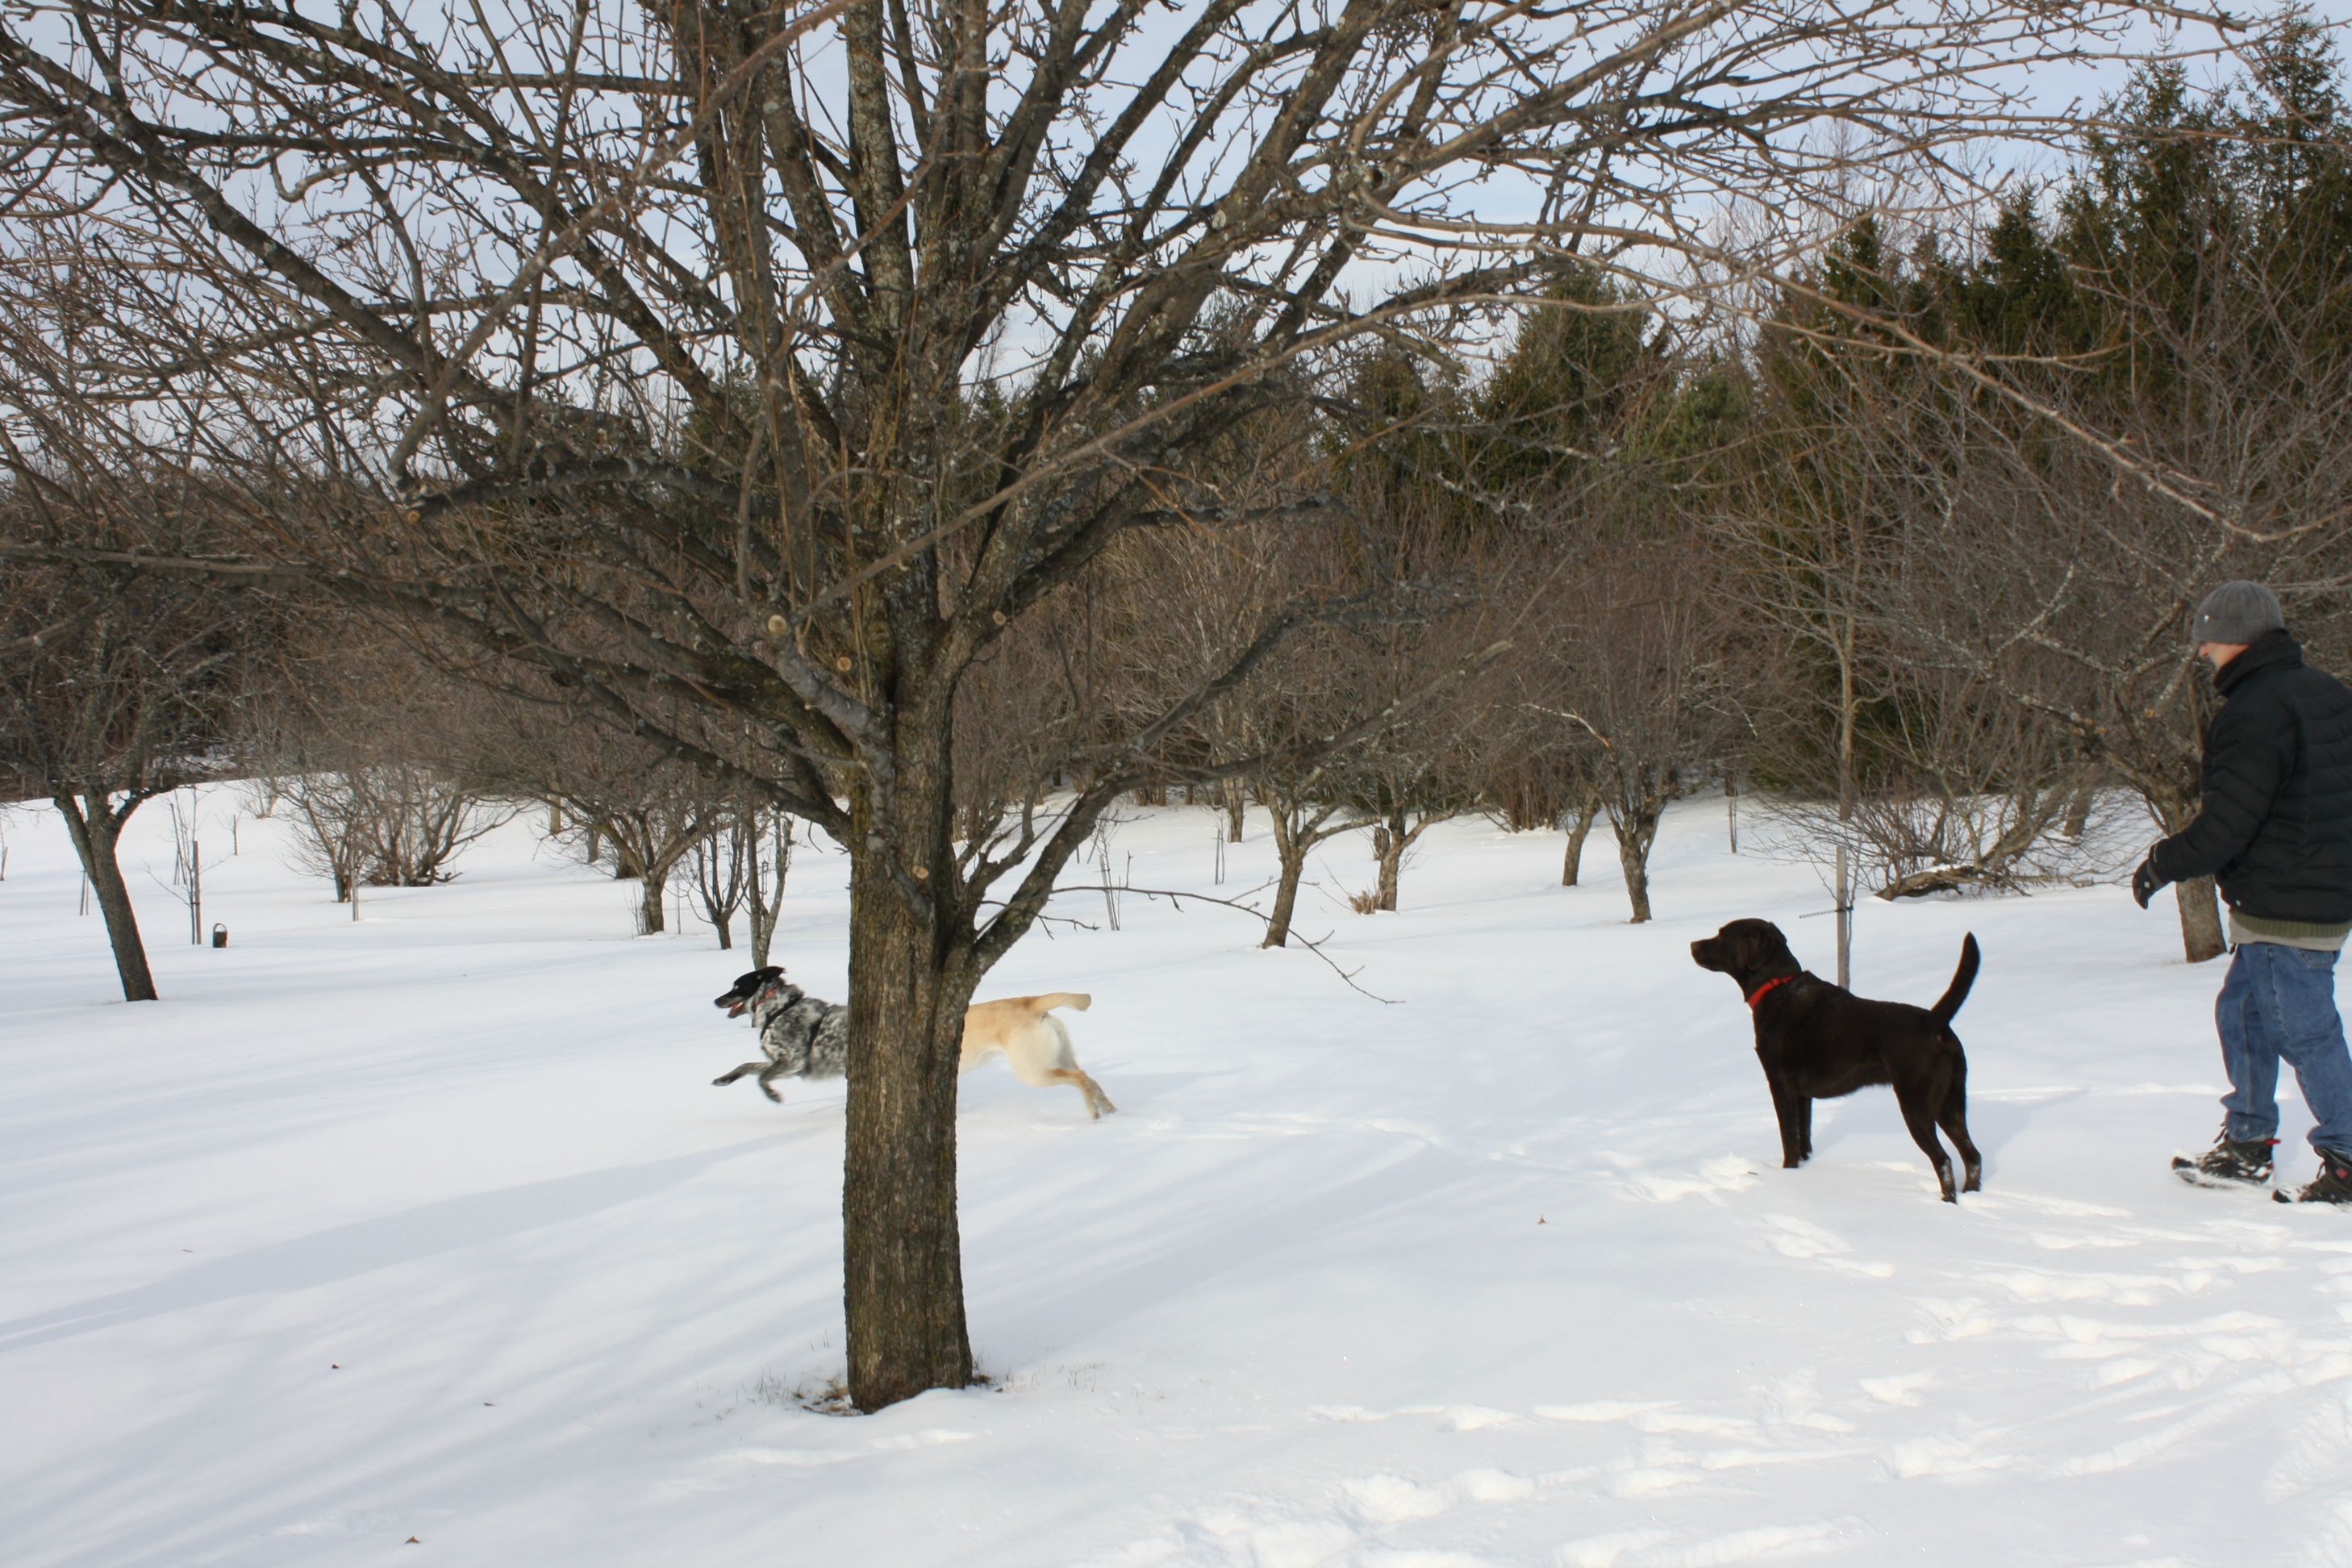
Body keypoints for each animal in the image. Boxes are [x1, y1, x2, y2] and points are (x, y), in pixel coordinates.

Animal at [710, 968, 851, 1104]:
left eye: (737, 987)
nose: (715, 1001)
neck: (776, 1010)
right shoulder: (780, 1062)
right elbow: (746, 1065)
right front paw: (725, 1079)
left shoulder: (793, 1061)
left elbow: (761, 1078)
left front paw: (772, 1094)